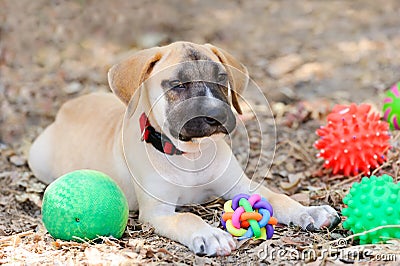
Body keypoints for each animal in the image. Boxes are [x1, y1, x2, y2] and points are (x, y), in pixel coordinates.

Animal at [29, 41, 340, 256]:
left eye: (222, 79)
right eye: (178, 85)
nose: (215, 114)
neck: (192, 155)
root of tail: (68, 106)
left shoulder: (242, 186)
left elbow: (279, 198)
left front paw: (310, 211)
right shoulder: (158, 212)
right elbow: (187, 217)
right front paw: (211, 235)